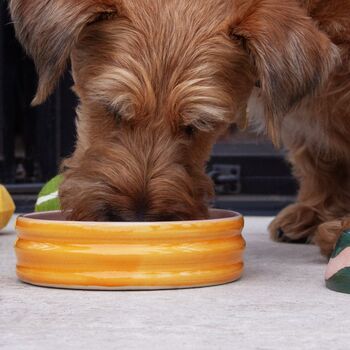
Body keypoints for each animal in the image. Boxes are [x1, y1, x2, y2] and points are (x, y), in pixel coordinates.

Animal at [7, 0, 350, 258]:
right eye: (111, 109)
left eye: (198, 125)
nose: (136, 220)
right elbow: (315, 155)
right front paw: (315, 208)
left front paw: (337, 228)